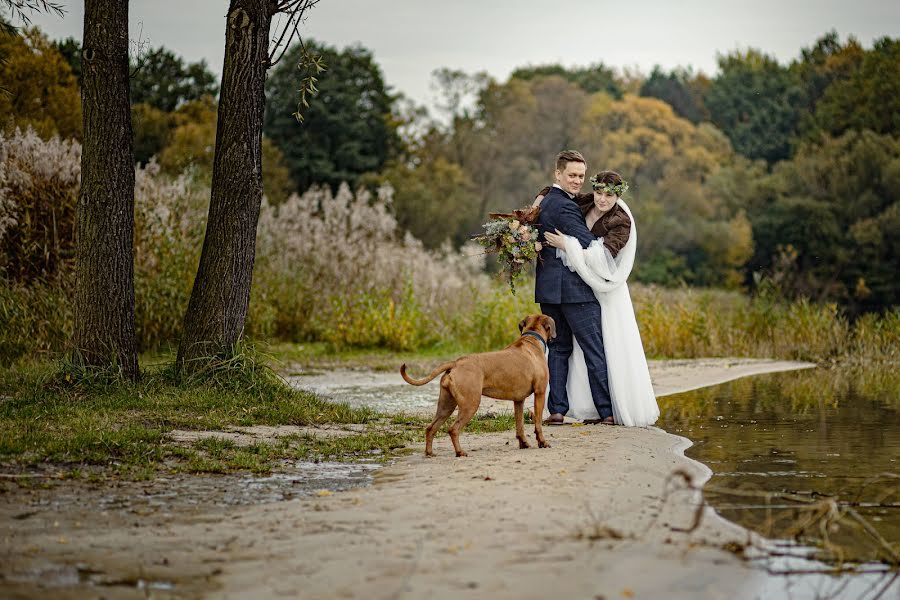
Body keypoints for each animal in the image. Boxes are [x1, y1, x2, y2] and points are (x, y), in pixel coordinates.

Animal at [400, 314, 556, 454]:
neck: (532, 339)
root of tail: (456, 363)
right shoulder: (540, 393)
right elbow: (538, 423)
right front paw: (542, 442)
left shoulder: (518, 400)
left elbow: (520, 425)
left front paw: (523, 443)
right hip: (470, 404)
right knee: (453, 429)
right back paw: (460, 452)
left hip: (446, 405)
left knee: (431, 427)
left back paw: (429, 453)